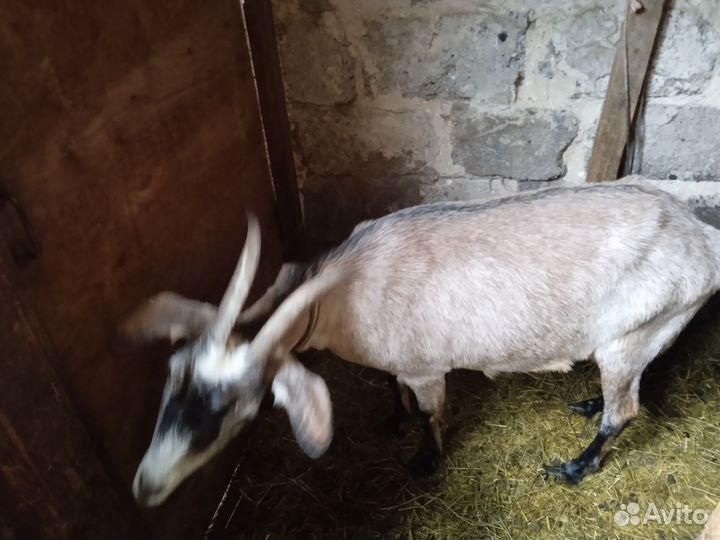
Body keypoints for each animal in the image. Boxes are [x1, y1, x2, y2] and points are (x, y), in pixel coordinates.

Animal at [124, 181, 720, 506]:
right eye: (172, 377)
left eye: (238, 409)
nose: (146, 486)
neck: (341, 292)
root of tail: (701, 235)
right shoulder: (397, 359)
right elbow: (390, 385)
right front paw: (392, 417)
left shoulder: (427, 365)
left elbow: (431, 415)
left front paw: (425, 460)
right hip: (652, 329)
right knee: (645, 374)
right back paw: (590, 402)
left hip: (629, 335)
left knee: (627, 411)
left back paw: (574, 466)